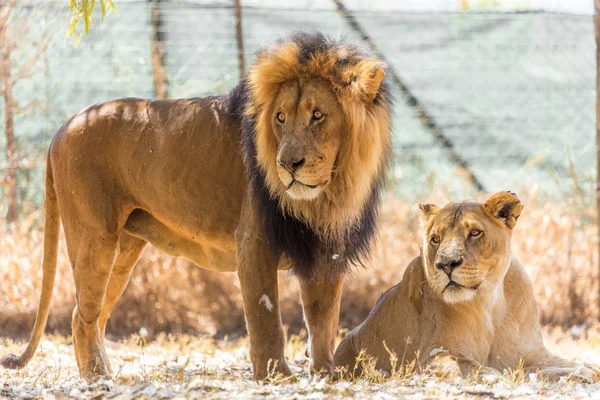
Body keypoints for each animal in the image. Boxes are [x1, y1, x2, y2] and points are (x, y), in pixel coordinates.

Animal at [1, 32, 394, 380]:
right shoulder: (253, 241)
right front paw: (275, 377)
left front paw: (326, 375)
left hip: (124, 250)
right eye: (280, 118)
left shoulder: (327, 249)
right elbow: (266, 317)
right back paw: (98, 379)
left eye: (317, 116)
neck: (326, 197)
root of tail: (63, 127)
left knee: (94, 314)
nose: (287, 164)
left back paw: (106, 372)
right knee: (82, 317)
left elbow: (323, 320)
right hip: (94, 237)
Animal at [336, 193, 596, 382]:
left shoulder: (532, 354)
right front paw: (492, 374)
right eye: (435, 239)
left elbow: (565, 364)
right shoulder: (428, 356)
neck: (488, 301)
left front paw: (583, 370)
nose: (446, 264)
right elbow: (465, 363)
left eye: (475, 233)